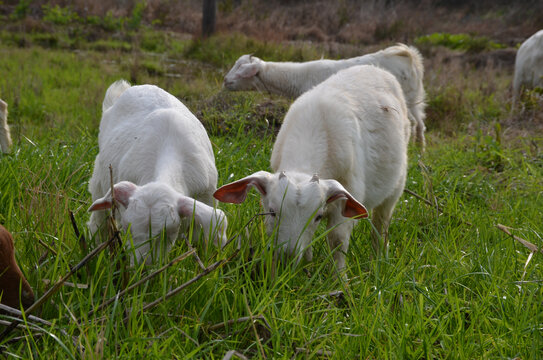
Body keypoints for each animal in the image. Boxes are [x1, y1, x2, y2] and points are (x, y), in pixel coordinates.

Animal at [88, 80, 228, 264]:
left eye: (168, 233)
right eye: (127, 230)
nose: (143, 267)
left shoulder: (206, 197)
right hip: (99, 181)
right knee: (99, 221)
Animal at [215, 65, 410, 272]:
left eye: (318, 217)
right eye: (272, 212)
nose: (288, 258)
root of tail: (375, 68)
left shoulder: (349, 192)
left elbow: (337, 241)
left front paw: (339, 278)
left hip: (396, 186)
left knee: (382, 223)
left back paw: (379, 260)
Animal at [223, 43, 428, 150]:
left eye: (242, 71)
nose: (225, 81)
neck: (300, 77)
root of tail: (408, 55)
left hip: (405, 100)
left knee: (411, 123)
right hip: (414, 99)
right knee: (420, 123)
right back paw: (420, 150)